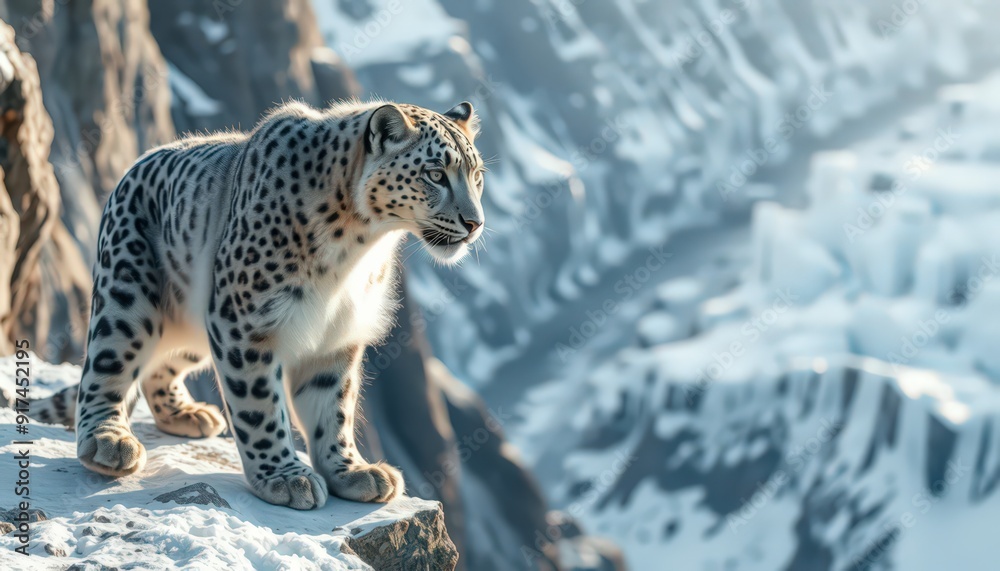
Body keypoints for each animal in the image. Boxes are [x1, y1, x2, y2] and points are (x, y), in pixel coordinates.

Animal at [23, 100, 486, 510]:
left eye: (477, 175)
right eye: (435, 174)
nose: (475, 223)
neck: (358, 250)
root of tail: (135, 165)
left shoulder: (336, 335)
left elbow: (333, 406)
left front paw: (350, 471)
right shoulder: (244, 320)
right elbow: (259, 404)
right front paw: (284, 477)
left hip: (196, 322)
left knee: (159, 365)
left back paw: (185, 414)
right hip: (128, 294)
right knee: (107, 367)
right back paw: (108, 441)